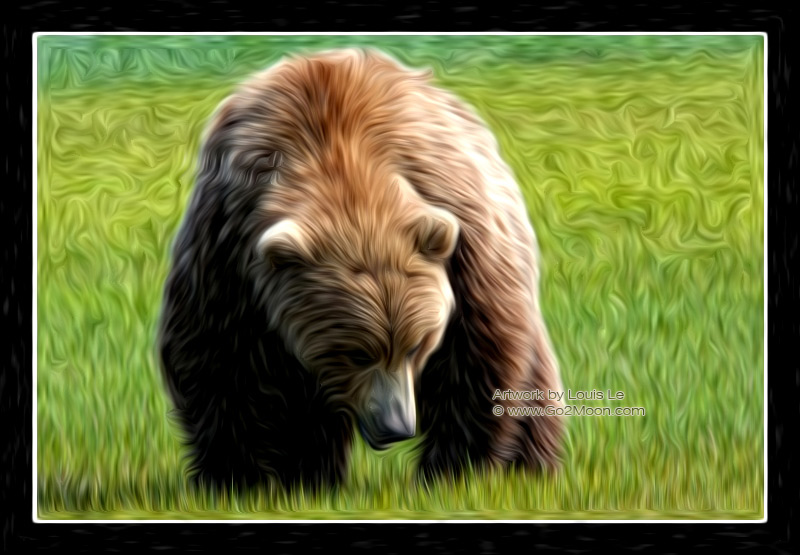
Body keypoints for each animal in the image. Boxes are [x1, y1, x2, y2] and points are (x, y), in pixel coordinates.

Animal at [158, 48, 564, 490]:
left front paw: (452, 472)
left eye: (418, 344)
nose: (395, 426)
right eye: (355, 352)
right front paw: (244, 478)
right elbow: (220, 362)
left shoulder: (466, 241)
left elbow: (479, 362)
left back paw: (533, 466)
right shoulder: (227, 251)